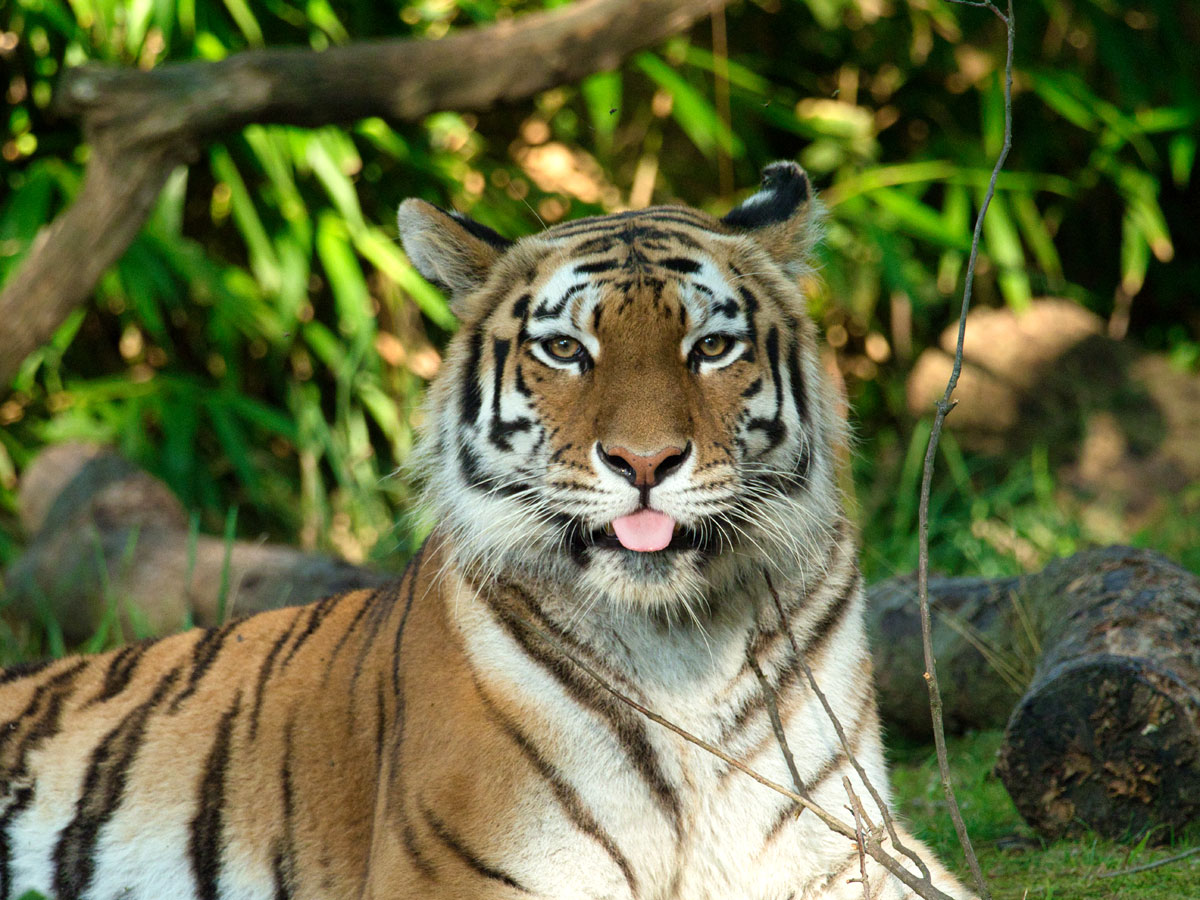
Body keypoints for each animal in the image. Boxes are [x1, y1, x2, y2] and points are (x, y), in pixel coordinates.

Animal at [0, 161, 972, 900]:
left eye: (710, 348)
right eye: (566, 350)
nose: (646, 461)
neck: (679, 644)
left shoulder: (850, 849)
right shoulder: (465, 873)